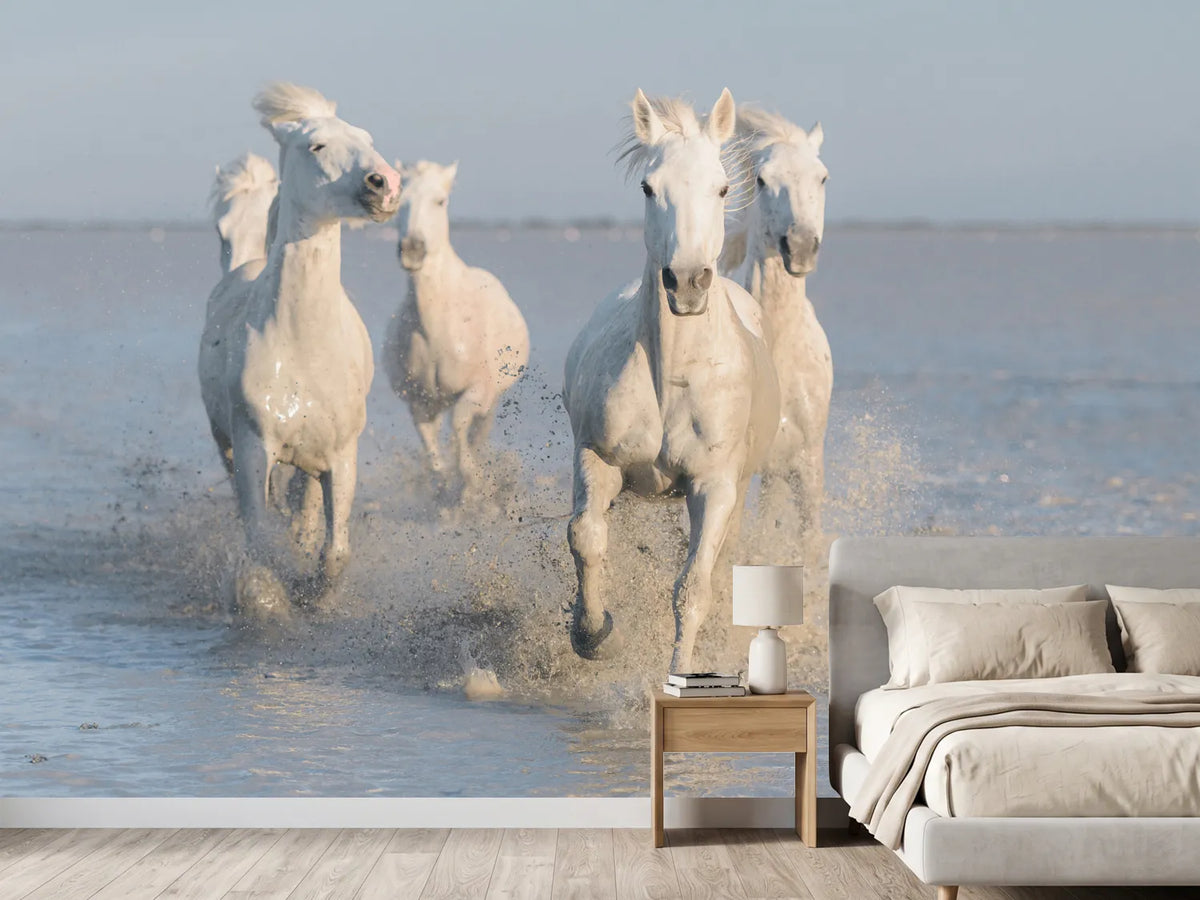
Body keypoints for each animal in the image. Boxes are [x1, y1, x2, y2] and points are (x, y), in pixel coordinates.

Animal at [198, 82, 400, 613]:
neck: (303, 344)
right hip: (225, 442)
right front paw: (272, 597)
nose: (386, 184)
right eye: (317, 145)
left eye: (366, 138)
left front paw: (312, 593)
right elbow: (260, 545)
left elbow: (335, 551)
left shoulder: (341, 457)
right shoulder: (253, 448)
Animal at [383, 160, 529, 504]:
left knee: (477, 433)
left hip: (492, 399)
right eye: (398, 201)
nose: (412, 250)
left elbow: (461, 430)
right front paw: (444, 489)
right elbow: (434, 456)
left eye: (440, 201)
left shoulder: (478, 391)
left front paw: (473, 486)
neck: (438, 328)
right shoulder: (420, 402)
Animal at [563, 89, 780, 670]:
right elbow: (585, 536)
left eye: (721, 187)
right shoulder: (598, 457)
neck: (675, 377)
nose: (686, 283)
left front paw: (680, 673)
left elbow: (693, 588)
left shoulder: (715, 486)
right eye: (648, 187)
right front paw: (594, 633)